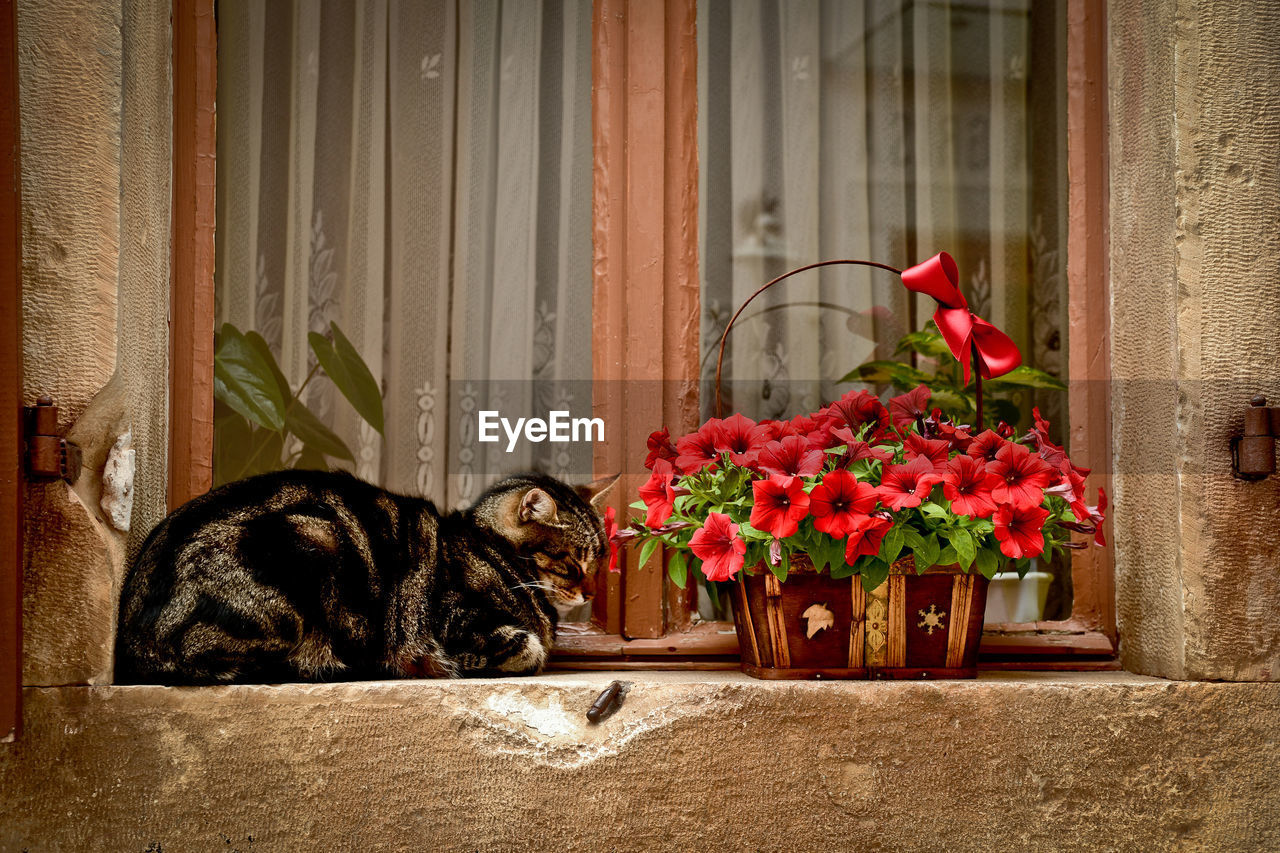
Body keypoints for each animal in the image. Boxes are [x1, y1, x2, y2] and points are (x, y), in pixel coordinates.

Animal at [117, 468, 616, 681]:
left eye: (600, 560)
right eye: (573, 561)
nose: (591, 592)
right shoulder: (456, 623)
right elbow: (527, 648)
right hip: (315, 540)